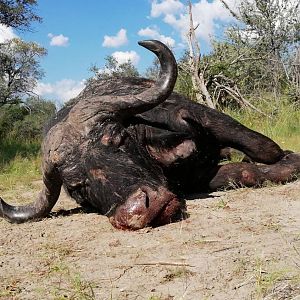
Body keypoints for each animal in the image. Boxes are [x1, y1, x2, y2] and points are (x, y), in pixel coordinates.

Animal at [0, 40, 300, 230]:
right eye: (77, 187)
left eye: (117, 140)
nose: (138, 209)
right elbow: (244, 173)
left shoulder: (196, 114)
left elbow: (263, 146)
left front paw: (288, 157)